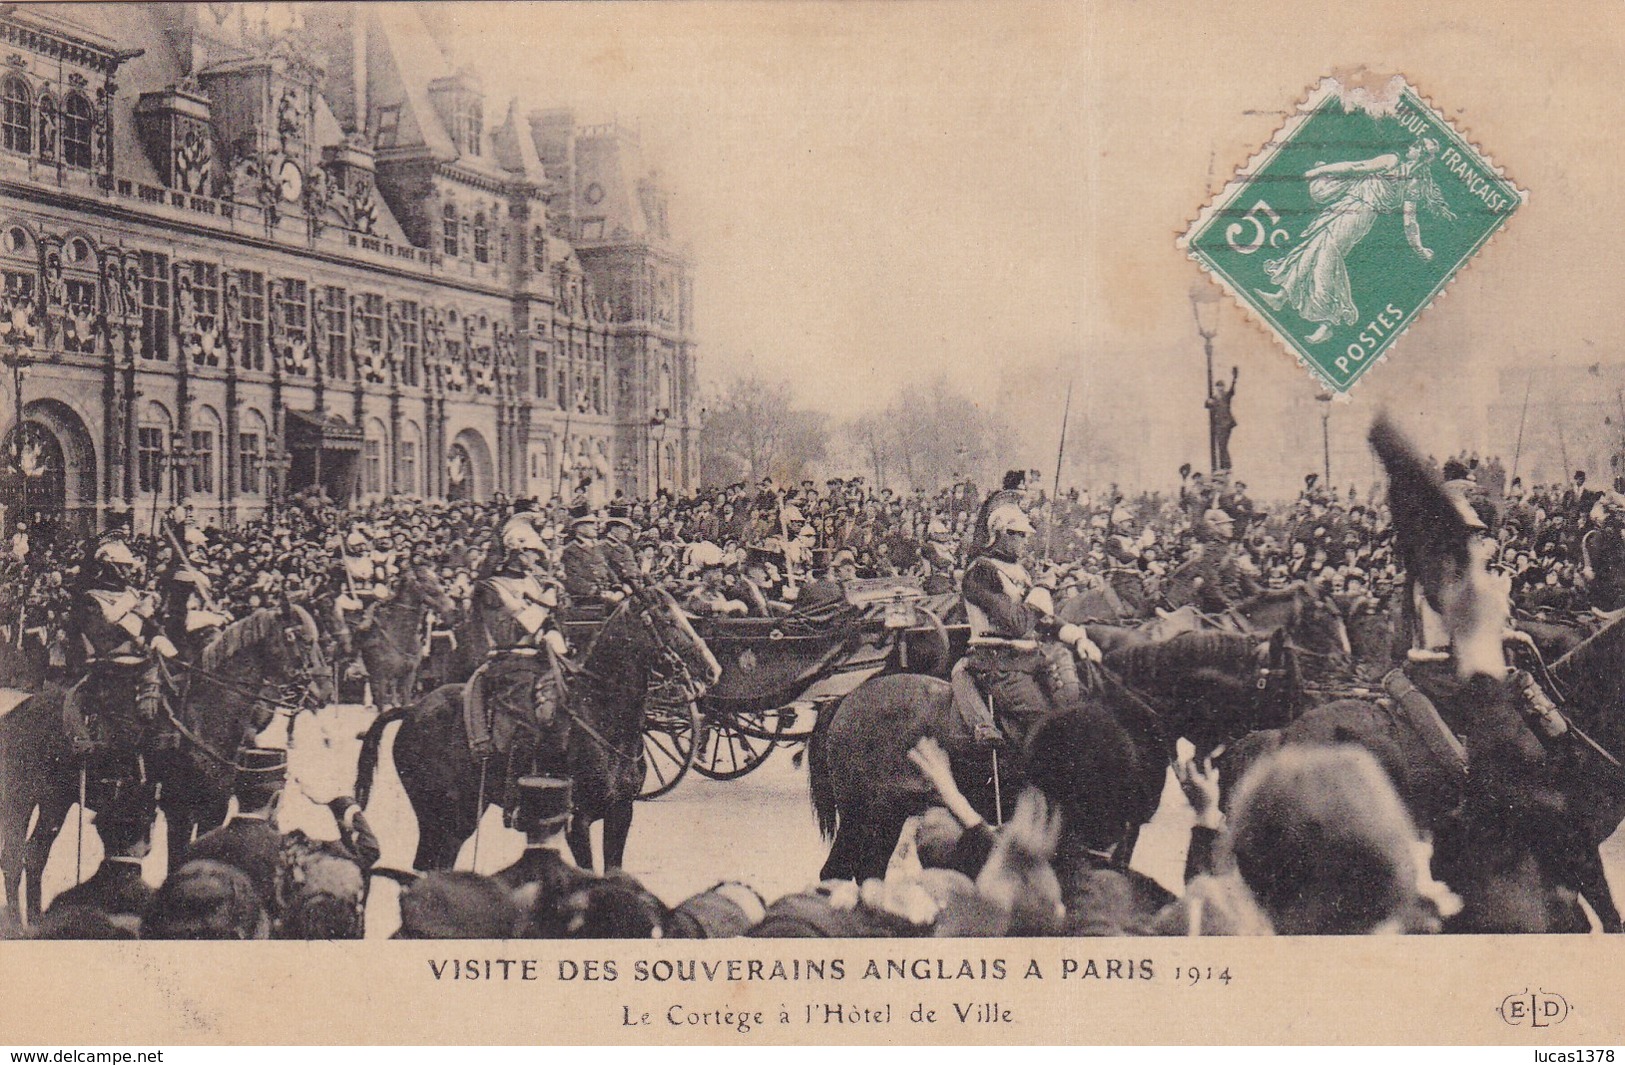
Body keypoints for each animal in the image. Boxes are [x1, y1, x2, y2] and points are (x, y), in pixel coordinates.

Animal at [0, 604, 326, 923]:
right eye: (302, 640)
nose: (322, 693)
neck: (202, 715)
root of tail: (17, 713)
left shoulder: (213, 810)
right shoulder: (178, 811)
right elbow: (178, 861)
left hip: (55, 802)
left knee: (35, 854)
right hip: (27, 800)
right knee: (16, 857)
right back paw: (19, 922)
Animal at [354, 572, 458, 712]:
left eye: (438, 581)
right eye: (429, 586)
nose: (452, 610)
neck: (399, 636)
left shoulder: (409, 676)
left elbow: (406, 702)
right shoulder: (379, 679)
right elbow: (381, 707)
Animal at [806, 624, 1300, 884]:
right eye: (1283, 687)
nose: (1295, 740)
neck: (1130, 706)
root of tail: (844, 701)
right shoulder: (1120, 824)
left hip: (883, 821)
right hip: (867, 818)